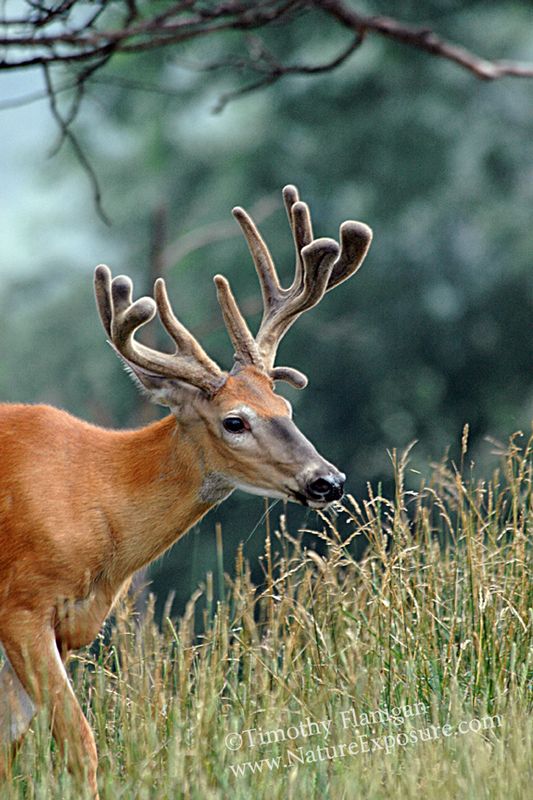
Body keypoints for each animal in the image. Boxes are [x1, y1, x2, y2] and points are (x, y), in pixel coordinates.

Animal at [0, 185, 372, 796]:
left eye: (286, 406)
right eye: (234, 421)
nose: (328, 480)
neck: (96, 494)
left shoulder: (69, 628)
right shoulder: (22, 605)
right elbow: (80, 743)